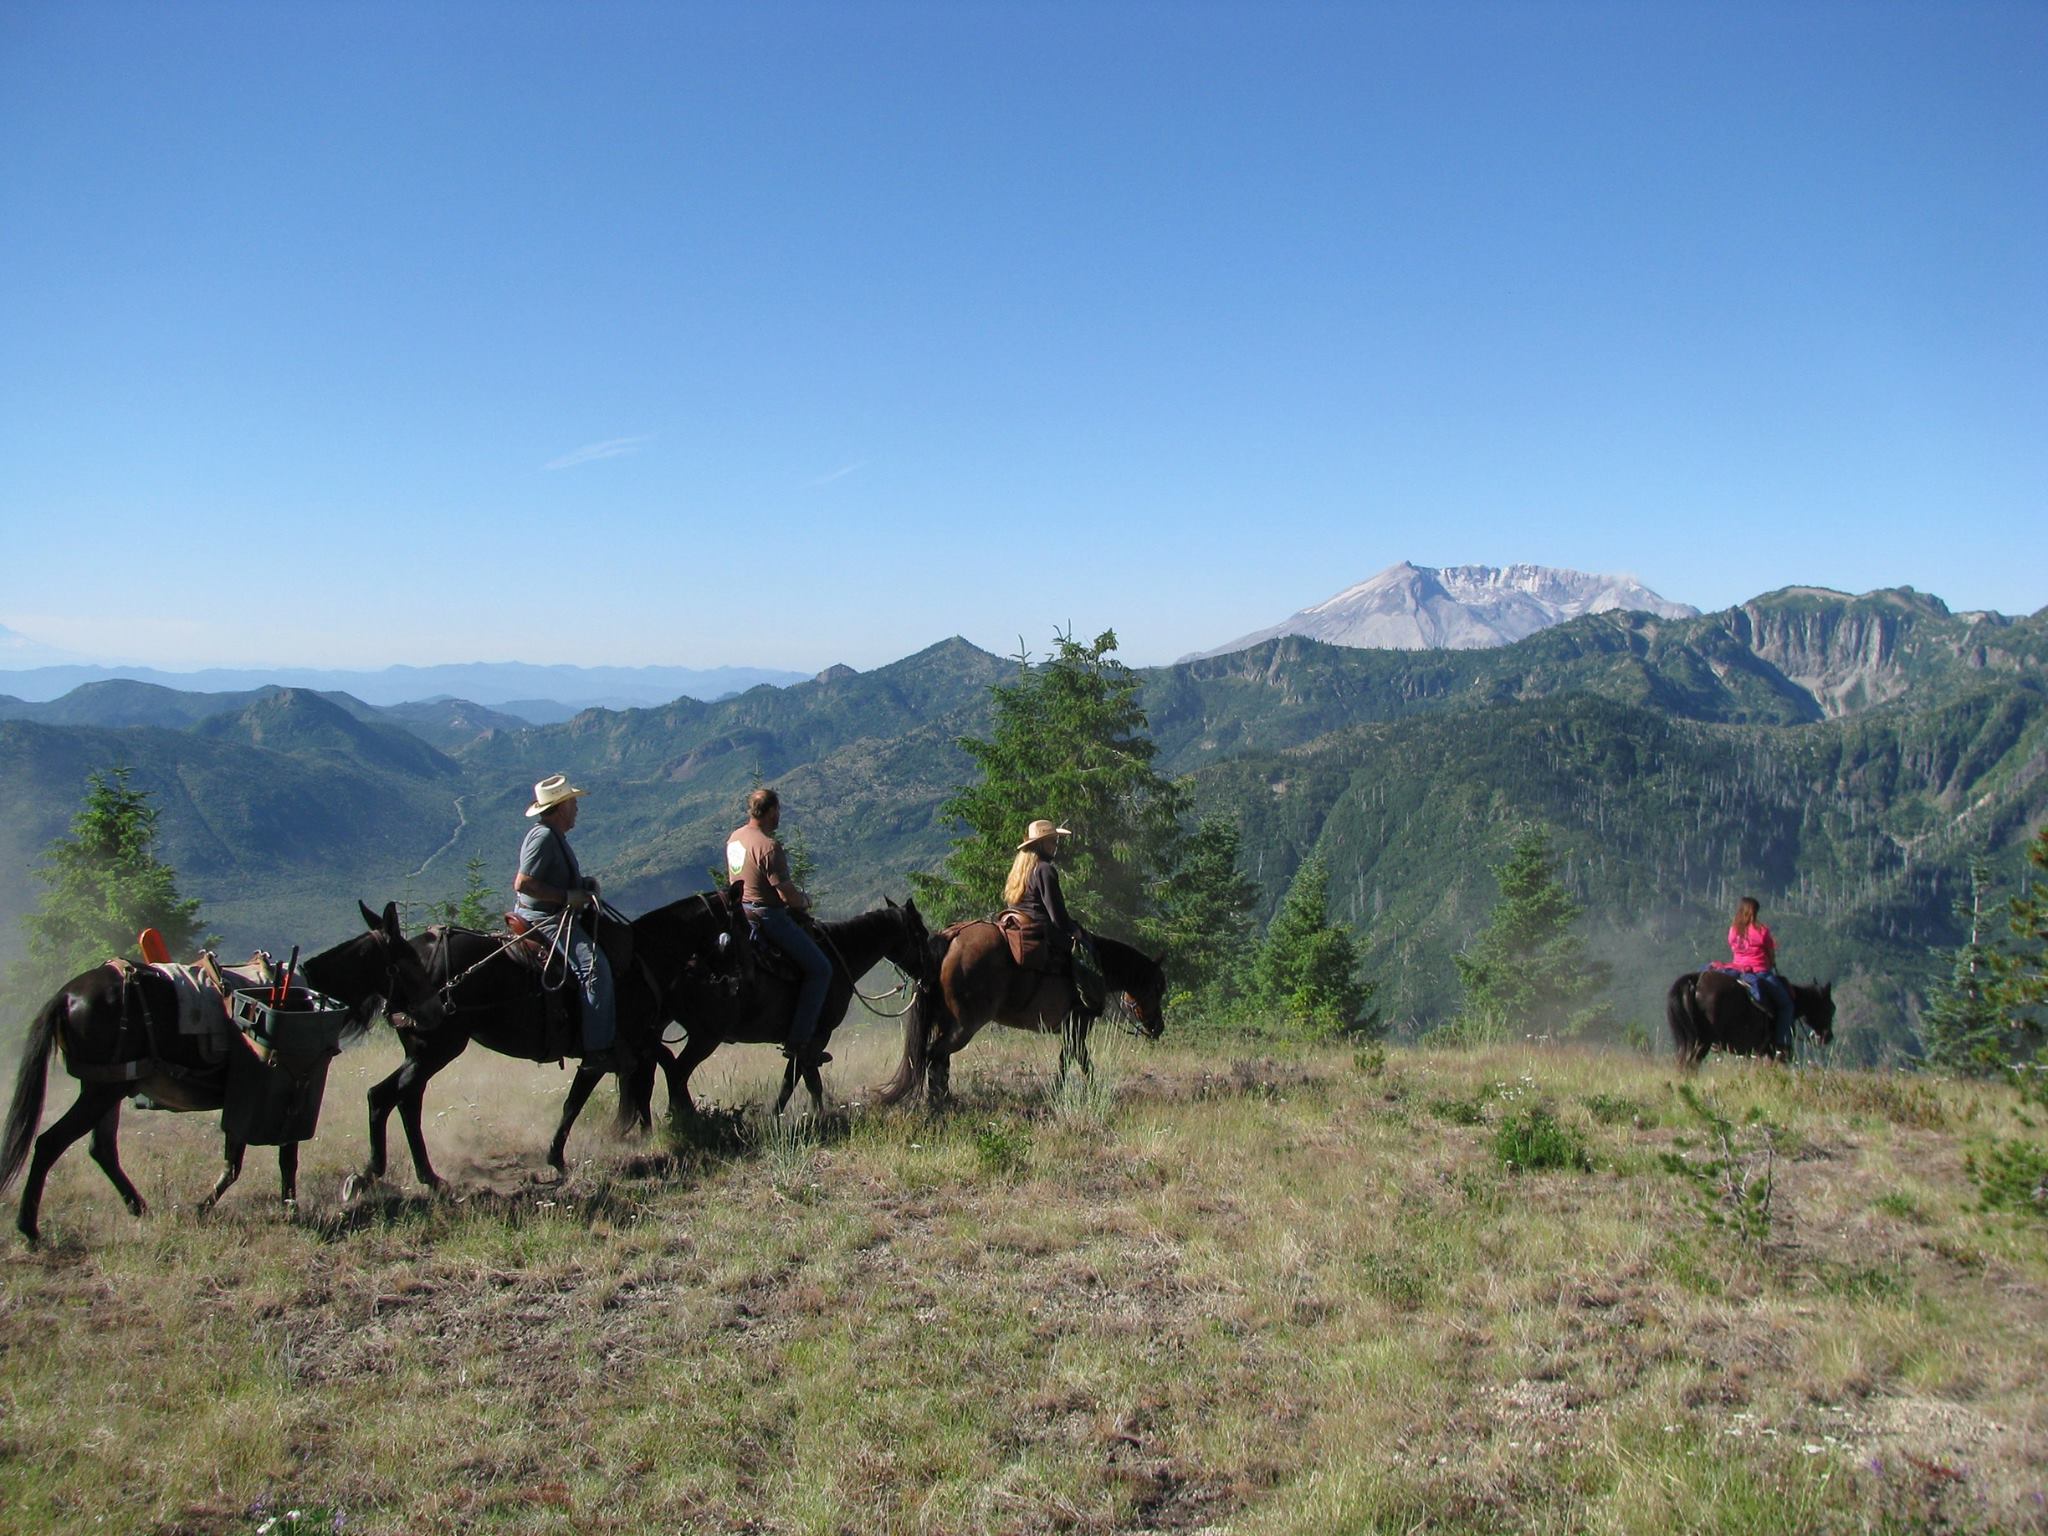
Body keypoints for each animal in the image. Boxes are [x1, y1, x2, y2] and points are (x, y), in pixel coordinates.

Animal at [3, 901, 428, 1253]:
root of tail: (66, 995)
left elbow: (253, 1160)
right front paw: (270, 1207)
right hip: (101, 1091)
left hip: (107, 1088)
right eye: (408, 961)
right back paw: (30, 1229)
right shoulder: (284, 1089)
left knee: (101, 1149)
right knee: (49, 1143)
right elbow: (268, 1158)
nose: (432, 1009)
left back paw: (139, 1208)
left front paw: (229, 1206)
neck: (313, 998)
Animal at [346, 884, 745, 1196]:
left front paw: (642, 1129)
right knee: (384, 1096)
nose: (737, 981)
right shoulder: (607, 1052)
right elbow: (580, 1100)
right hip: (436, 1049)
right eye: (743, 926)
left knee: (404, 1100)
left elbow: (641, 1081)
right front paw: (559, 1156)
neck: (642, 958)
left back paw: (424, 1176)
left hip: (422, 1052)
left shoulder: (636, 1045)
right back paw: (374, 1173)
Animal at [659, 901, 933, 1122]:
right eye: (921, 932)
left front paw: (776, 1117)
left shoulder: (800, 1042)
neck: (840, 953)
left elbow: (791, 1080)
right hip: (705, 1037)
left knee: (666, 1062)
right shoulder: (815, 1036)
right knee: (677, 1072)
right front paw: (819, 1116)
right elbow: (808, 1081)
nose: (928, 972)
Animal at [868, 921, 1171, 1114]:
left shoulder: (1070, 1026)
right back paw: (937, 1103)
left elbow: (1066, 1059)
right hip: (966, 1025)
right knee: (934, 1054)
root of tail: (952, 935)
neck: (1098, 967)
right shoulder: (1079, 1022)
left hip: (948, 1022)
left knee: (939, 1058)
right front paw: (1090, 1091)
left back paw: (944, 1100)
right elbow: (1080, 1059)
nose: (1157, 1027)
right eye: (1157, 986)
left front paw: (1057, 1092)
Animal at [1662, 974, 1843, 1073]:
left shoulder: (1763, 1052)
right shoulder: (1775, 1051)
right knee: (1690, 1064)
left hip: (1689, 1041)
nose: (1827, 1036)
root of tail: (1695, 981)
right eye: (1831, 1007)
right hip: (1701, 1042)